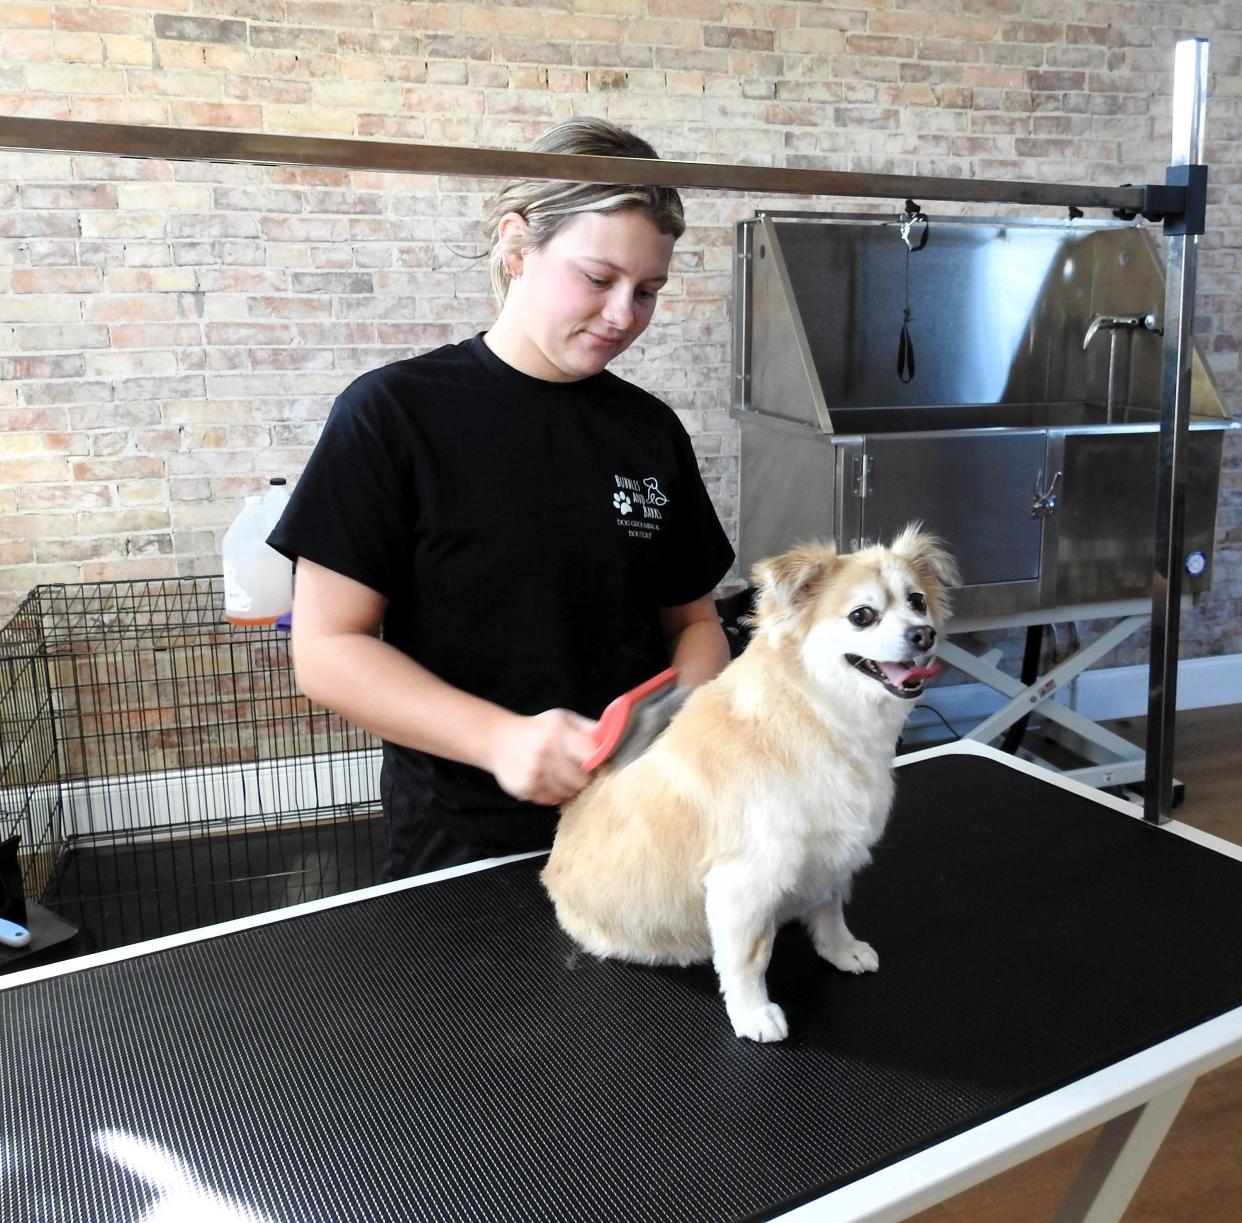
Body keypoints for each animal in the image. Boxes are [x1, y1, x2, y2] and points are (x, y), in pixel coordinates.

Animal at [543, 523, 958, 1037]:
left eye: (917, 601)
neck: (819, 715)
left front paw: (840, 950)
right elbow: (749, 958)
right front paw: (753, 1012)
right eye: (862, 616)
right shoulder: (746, 882)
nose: (924, 634)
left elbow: (830, 909)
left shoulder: (833, 852)